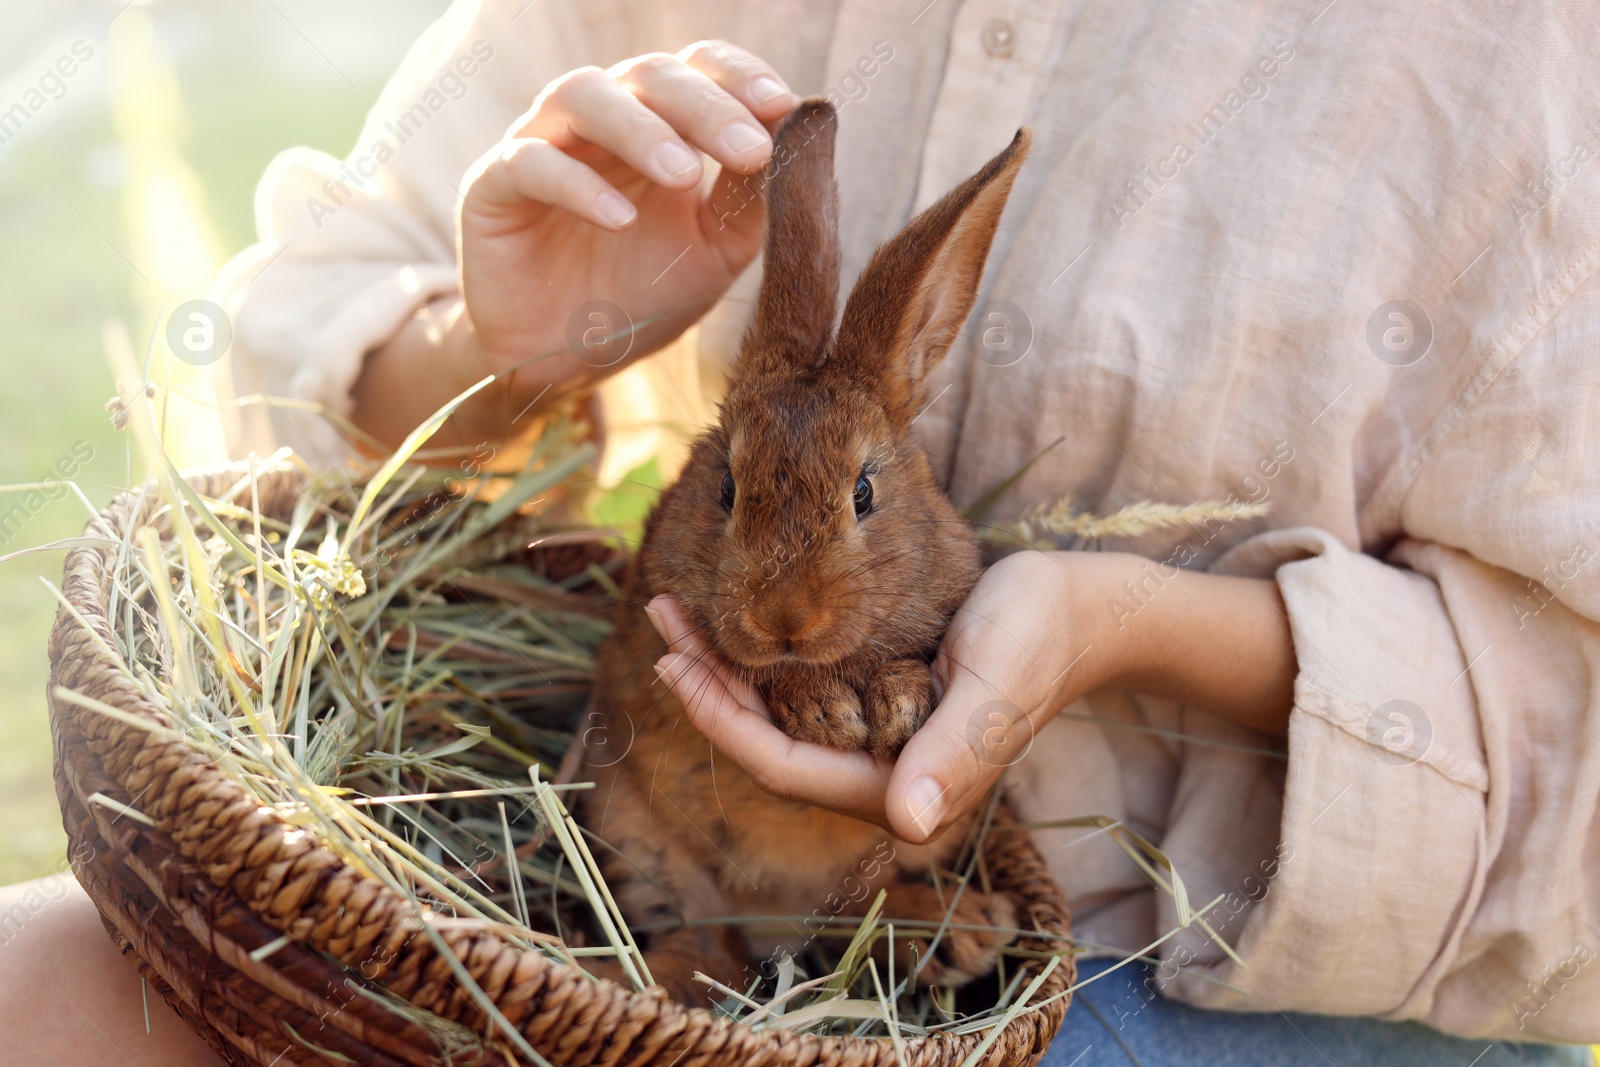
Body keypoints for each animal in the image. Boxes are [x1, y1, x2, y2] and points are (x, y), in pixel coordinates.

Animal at [582, 95, 1030, 1004]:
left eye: (863, 493)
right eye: (726, 488)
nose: (784, 618)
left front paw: (893, 706)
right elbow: (763, 673)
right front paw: (828, 708)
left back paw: (966, 933)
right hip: (636, 834)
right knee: (709, 944)